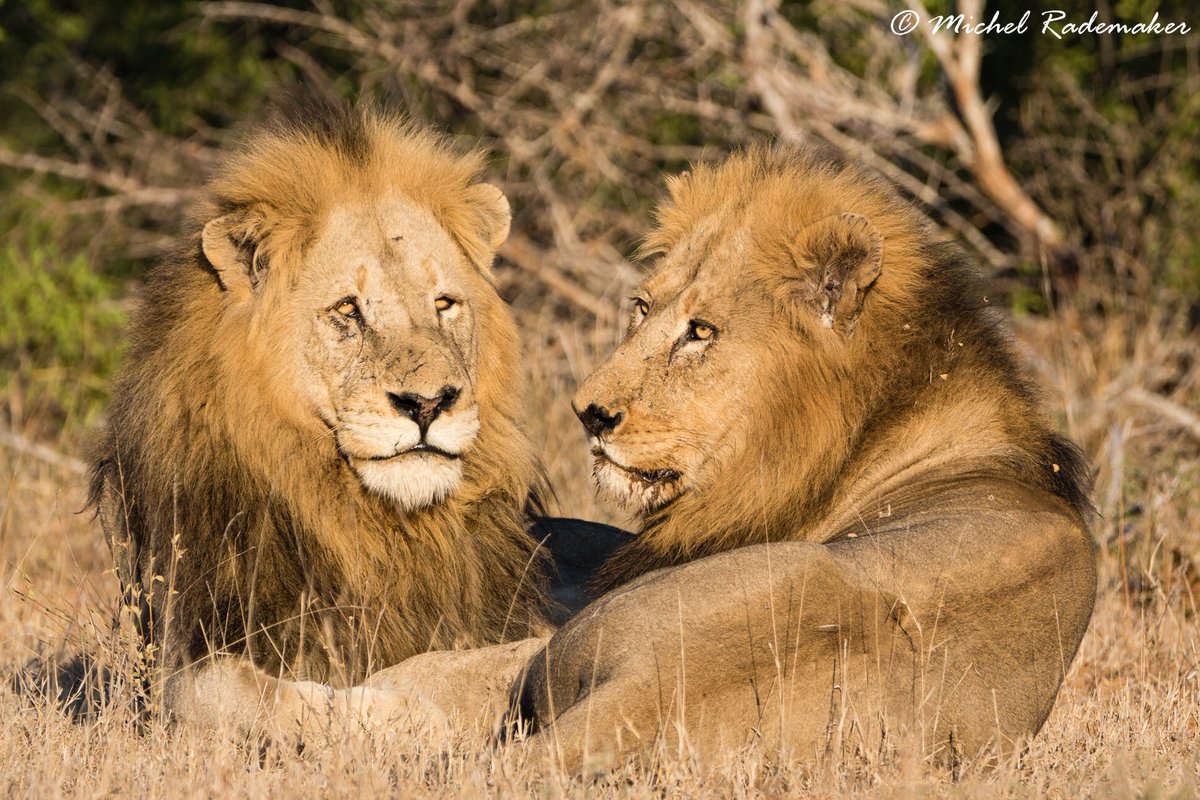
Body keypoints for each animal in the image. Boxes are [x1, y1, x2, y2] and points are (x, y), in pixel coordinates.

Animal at [80, 102, 611, 738]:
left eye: (443, 303)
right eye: (347, 310)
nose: (429, 403)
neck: (368, 527)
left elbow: (483, 660)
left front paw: (407, 708)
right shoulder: (191, 637)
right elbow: (217, 693)